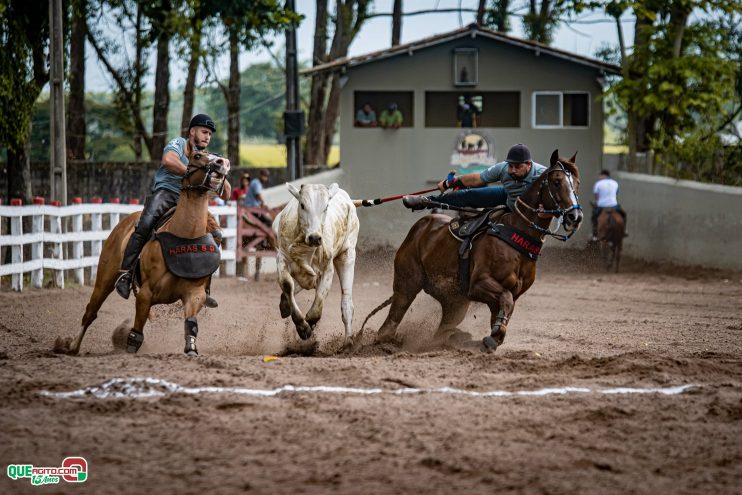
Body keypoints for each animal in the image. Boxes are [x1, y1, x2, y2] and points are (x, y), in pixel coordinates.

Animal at [55, 151, 231, 356]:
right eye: (197, 155)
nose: (222, 163)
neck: (185, 236)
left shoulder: (195, 294)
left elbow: (191, 323)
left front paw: (191, 349)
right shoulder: (146, 294)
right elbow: (136, 332)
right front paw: (130, 346)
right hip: (104, 279)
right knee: (91, 312)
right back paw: (72, 346)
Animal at [276, 183, 364, 348]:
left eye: (326, 206)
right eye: (302, 205)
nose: (315, 237)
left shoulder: (327, 269)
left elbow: (318, 303)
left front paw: (308, 325)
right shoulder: (282, 258)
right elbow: (287, 285)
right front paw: (302, 326)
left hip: (347, 256)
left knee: (347, 303)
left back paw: (348, 341)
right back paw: (284, 305)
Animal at [364, 149, 584, 350]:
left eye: (577, 184)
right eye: (557, 181)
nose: (575, 216)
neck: (516, 233)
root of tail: (420, 226)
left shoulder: (511, 293)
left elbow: (505, 307)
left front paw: (493, 337)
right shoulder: (478, 284)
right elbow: (506, 299)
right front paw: (493, 336)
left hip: (455, 301)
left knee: (441, 330)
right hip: (407, 284)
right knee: (390, 323)